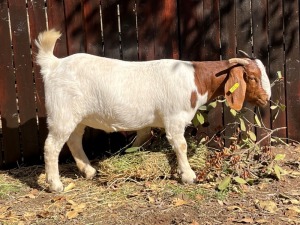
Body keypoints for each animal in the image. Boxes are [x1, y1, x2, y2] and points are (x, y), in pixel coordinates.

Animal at [35, 29, 272, 192]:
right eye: (252, 77)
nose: (266, 99)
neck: (195, 79)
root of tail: (54, 65)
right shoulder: (174, 118)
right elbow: (181, 145)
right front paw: (188, 175)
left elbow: (143, 137)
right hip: (62, 114)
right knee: (51, 146)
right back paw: (55, 184)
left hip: (77, 117)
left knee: (74, 140)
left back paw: (89, 170)